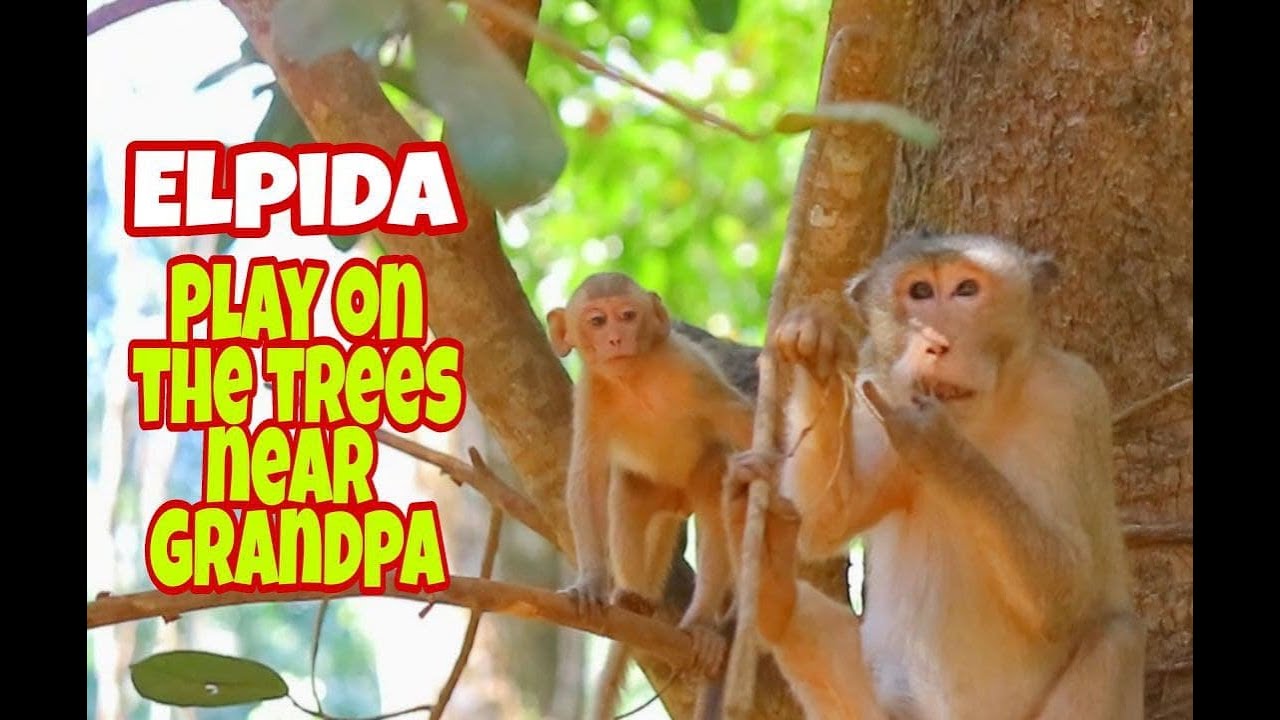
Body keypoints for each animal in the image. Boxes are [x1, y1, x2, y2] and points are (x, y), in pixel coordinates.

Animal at [547, 272, 756, 678]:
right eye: (598, 321)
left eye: (628, 316)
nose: (615, 338)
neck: (636, 380)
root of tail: (679, 502)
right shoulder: (591, 394)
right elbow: (588, 479)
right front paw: (591, 583)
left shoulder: (691, 371)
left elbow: (746, 424)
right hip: (652, 489)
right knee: (624, 496)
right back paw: (634, 600)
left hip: (701, 473)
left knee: (715, 491)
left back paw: (701, 623)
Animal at [723, 233, 1144, 719]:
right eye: (920, 292)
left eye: (966, 290)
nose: (937, 343)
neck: (983, 420)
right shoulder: (877, 392)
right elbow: (827, 519)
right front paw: (818, 349)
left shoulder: (1074, 399)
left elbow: (1070, 590)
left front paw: (942, 448)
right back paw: (772, 585)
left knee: (1118, 640)